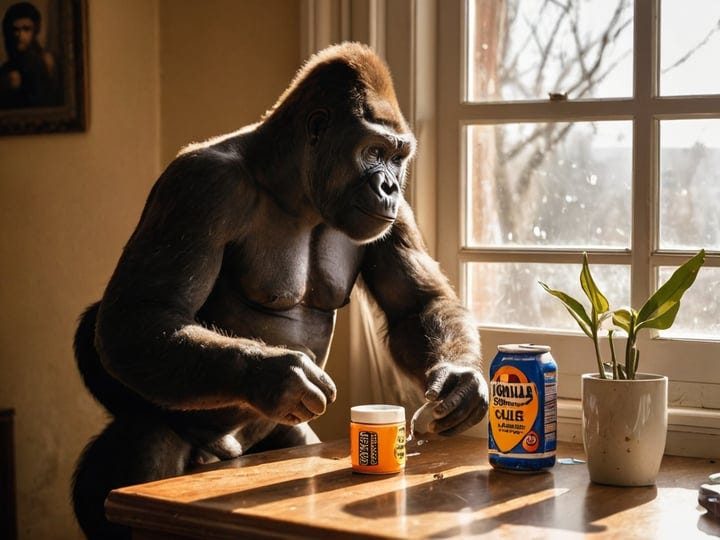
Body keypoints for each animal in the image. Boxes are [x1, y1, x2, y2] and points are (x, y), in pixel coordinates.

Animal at [72, 42, 489, 539]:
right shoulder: (200, 186)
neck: (291, 186)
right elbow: (141, 314)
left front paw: (460, 386)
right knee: (146, 436)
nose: (389, 184)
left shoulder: (394, 215)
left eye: (397, 156)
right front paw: (277, 375)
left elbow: (417, 306)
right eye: (373, 151)